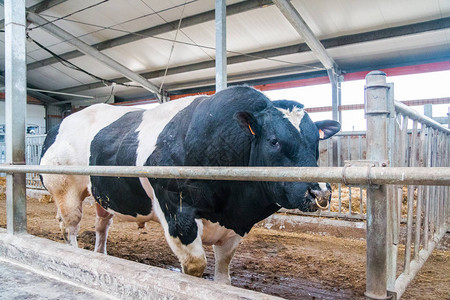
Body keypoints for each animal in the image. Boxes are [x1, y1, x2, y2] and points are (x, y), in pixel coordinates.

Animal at [39, 86, 342, 284]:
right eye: (274, 141)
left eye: (316, 141)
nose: (320, 191)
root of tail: (58, 125)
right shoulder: (177, 213)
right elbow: (195, 267)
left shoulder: (236, 225)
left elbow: (223, 275)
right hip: (65, 189)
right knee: (70, 227)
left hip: (103, 194)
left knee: (101, 225)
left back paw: (101, 256)